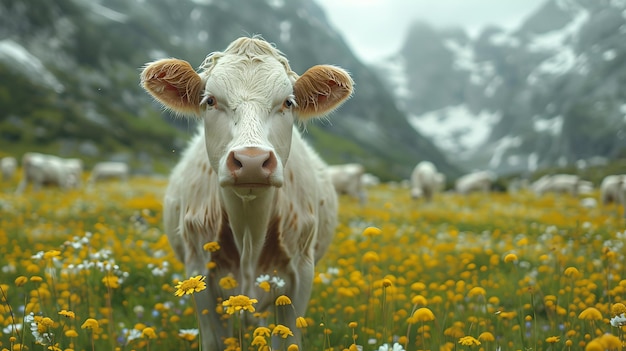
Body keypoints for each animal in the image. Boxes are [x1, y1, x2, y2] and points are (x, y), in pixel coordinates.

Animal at [140, 36, 352, 351]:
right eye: (210, 100)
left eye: (288, 102)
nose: (252, 161)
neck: (250, 231)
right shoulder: (198, 271)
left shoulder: (301, 273)